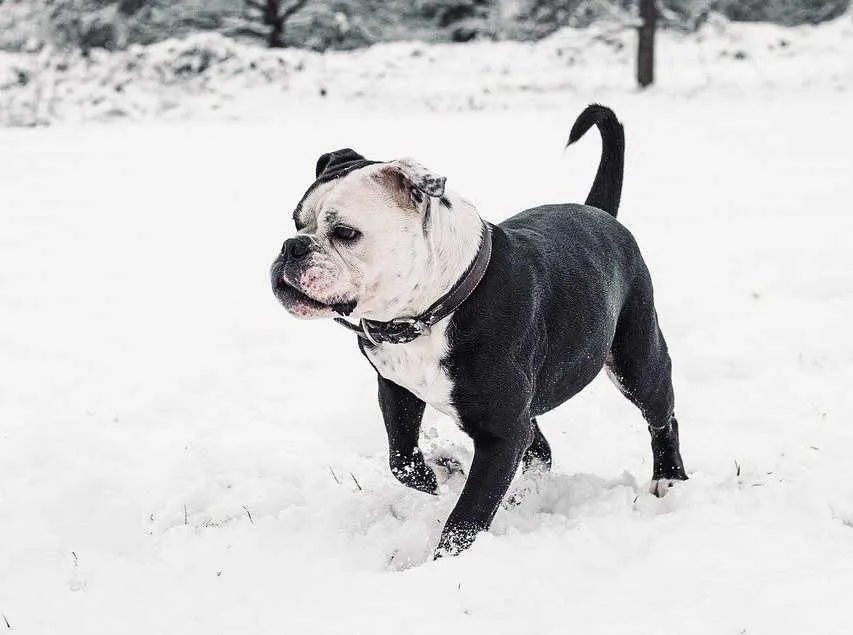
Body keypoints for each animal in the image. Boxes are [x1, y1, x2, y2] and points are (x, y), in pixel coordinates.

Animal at [270, 107, 688, 560]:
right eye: (297, 222)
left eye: (346, 233)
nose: (292, 246)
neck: (432, 310)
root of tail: (600, 213)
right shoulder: (396, 387)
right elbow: (402, 458)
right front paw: (442, 471)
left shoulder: (501, 433)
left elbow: (467, 515)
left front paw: (444, 562)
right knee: (540, 449)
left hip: (637, 361)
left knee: (661, 416)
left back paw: (669, 478)